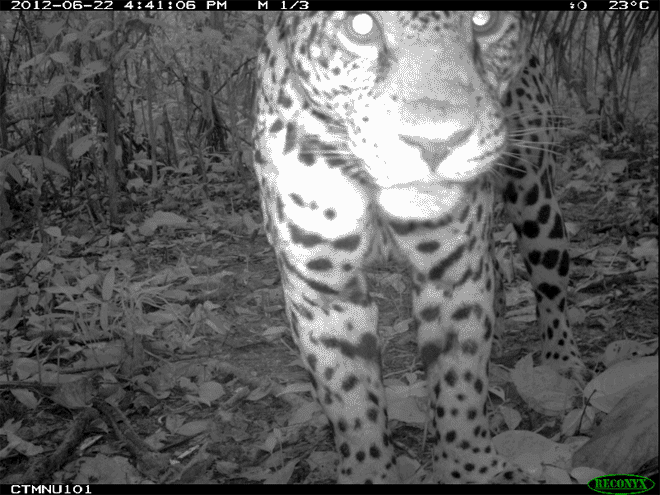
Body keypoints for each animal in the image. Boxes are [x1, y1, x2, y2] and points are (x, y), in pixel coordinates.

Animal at [251, 11, 589, 484]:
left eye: (484, 20)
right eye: (360, 26)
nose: (436, 142)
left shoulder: (453, 278)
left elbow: (460, 385)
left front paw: (472, 469)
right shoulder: (324, 294)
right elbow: (351, 400)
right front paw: (369, 473)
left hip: (536, 198)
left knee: (551, 286)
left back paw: (561, 361)